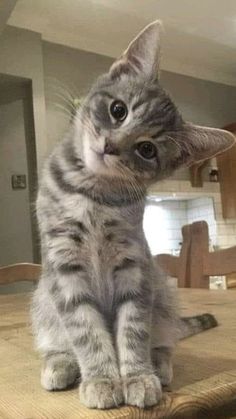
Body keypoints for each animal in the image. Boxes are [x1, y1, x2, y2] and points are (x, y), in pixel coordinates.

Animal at [32, 20, 235, 410]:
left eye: (146, 149)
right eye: (118, 110)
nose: (110, 146)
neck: (92, 194)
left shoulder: (135, 265)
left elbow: (133, 327)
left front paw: (137, 376)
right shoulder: (64, 266)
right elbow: (85, 329)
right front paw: (101, 378)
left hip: (163, 292)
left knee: (165, 337)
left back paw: (159, 364)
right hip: (42, 299)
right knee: (57, 340)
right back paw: (61, 364)